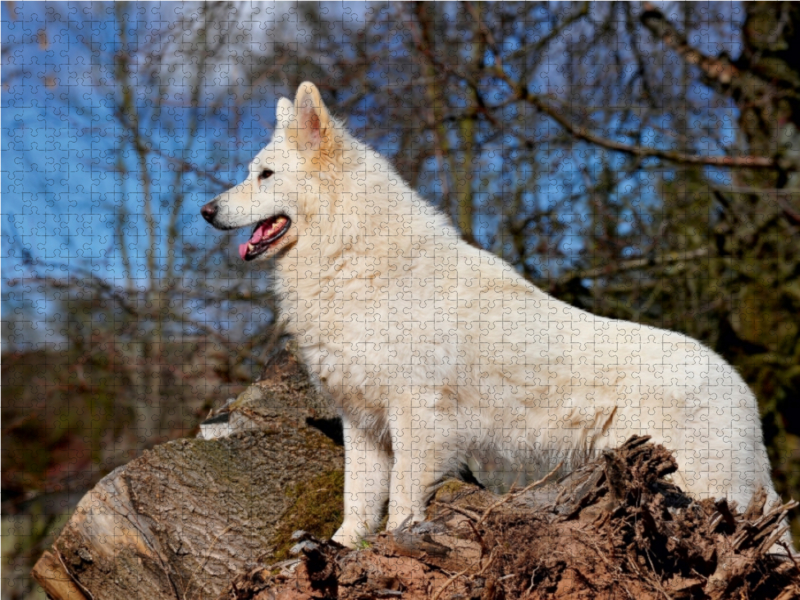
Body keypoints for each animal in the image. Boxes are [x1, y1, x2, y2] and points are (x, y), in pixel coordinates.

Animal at [200, 82, 788, 552]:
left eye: (264, 175)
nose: (206, 211)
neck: (351, 256)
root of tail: (739, 386)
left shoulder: (418, 416)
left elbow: (402, 496)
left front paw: (396, 539)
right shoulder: (363, 423)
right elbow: (358, 497)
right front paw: (343, 546)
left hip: (703, 487)